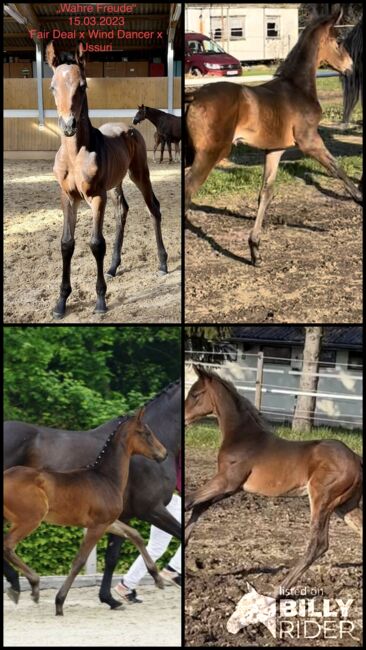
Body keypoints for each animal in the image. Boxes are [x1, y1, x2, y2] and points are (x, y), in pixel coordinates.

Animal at [3, 408, 167, 616]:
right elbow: (79, 561)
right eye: (146, 433)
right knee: (7, 545)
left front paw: (158, 578)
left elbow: (135, 534)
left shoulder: (108, 522)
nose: (164, 453)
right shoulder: (97, 526)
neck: (106, 478)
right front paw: (59, 603)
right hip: (30, 520)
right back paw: (32, 585)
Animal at [45, 41, 168, 316]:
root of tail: (129, 128)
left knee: (153, 207)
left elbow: (96, 243)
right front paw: (60, 302)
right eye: (52, 86)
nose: (68, 125)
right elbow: (66, 244)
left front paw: (100, 301)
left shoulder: (96, 196)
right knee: (122, 210)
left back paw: (163, 263)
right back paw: (113, 267)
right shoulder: (68, 198)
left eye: (82, 86)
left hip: (139, 173)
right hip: (116, 183)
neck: (75, 155)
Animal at [186, 10, 364, 264]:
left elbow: (266, 193)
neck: (298, 88)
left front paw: (255, 249)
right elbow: (337, 168)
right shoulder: (309, 141)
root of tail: (196, 96)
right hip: (211, 153)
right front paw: (359, 198)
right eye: (338, 42)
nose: (351, 68)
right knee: (187, 191)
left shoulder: (274, 150)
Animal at [186, 364, 364, 592]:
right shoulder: (233, 488)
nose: (184, 418)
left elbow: (189, 500)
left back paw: (279, 589)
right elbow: (199, 506)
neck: (242, 436)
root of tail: (356, 458)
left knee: (318, 544)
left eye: (195, 394)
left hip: (322, 498)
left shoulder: (227, 481)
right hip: (345, 506)